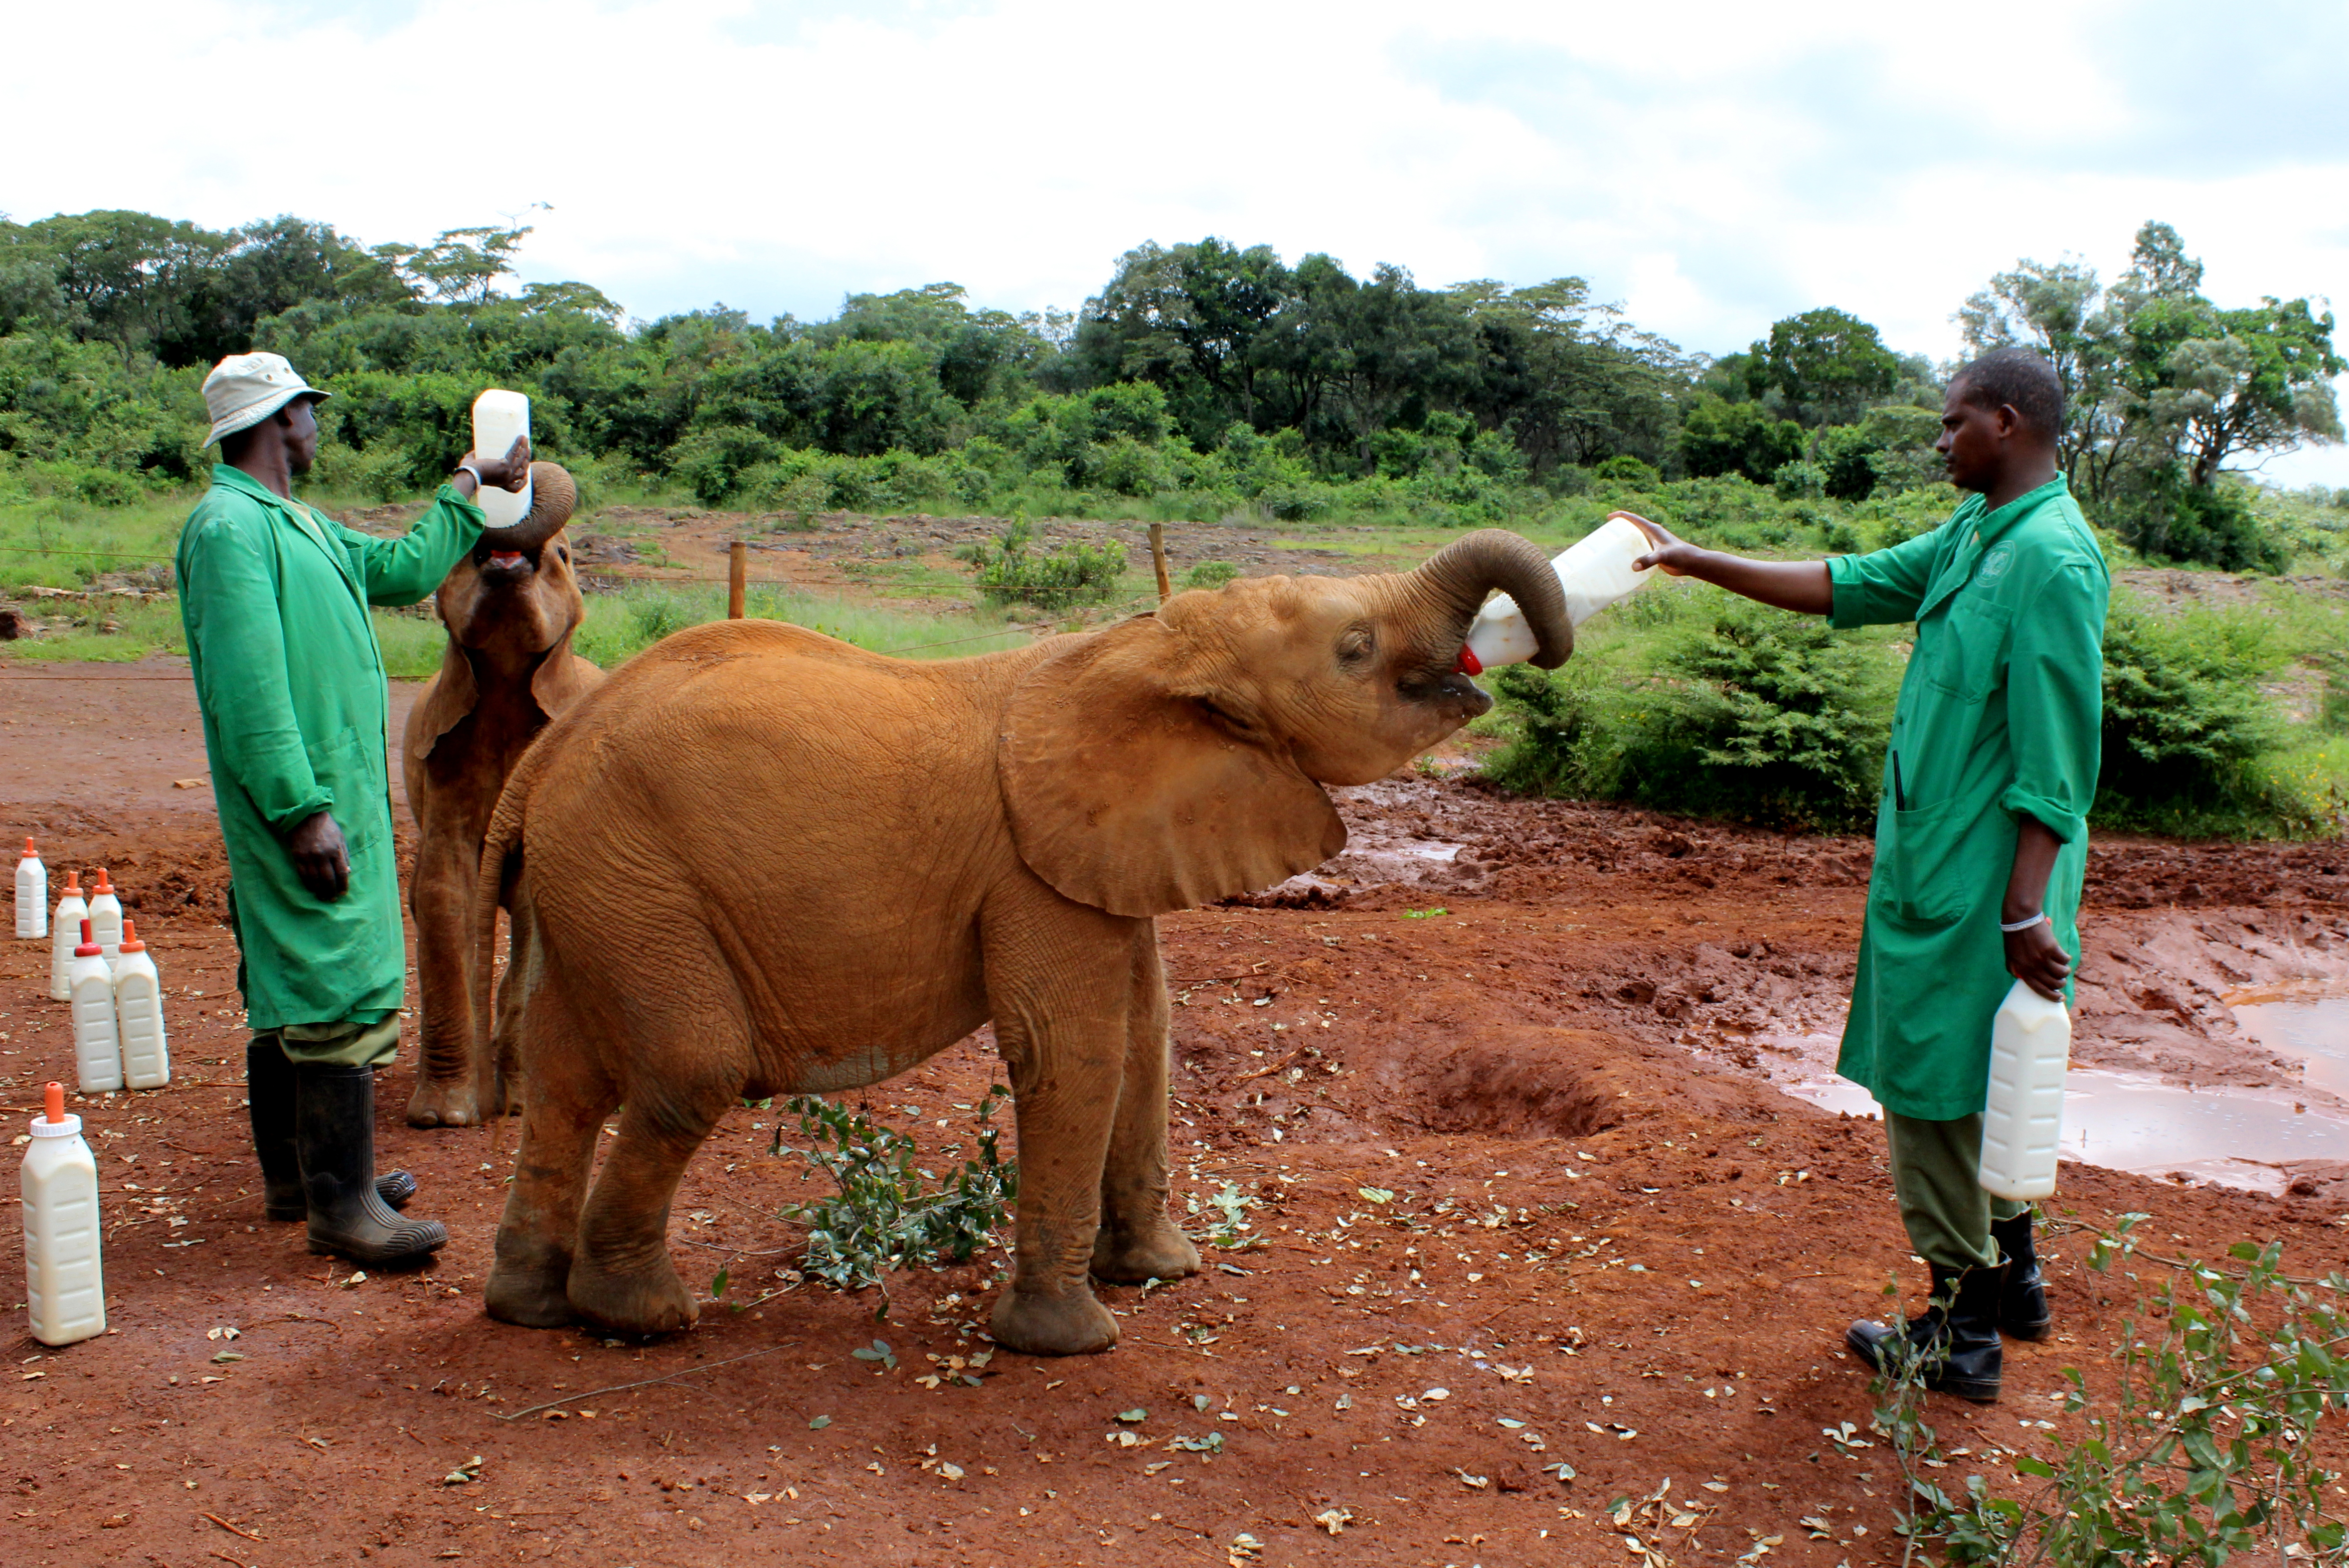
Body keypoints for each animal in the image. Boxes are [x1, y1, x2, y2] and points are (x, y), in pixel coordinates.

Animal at [399, 462, 596, 1126]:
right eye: (463, 553)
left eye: (563, 555)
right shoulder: (444, 758)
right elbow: (442, 891)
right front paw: (444, 1115)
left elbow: (537, 899)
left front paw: (515, 1106)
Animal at [474, 530, 1569, 1361]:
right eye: (1354, 646)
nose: (1519, 658)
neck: (1148, 642)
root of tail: (540, 763)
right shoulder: (1032, 869)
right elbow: (1070, 1051)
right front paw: (1070, 1342)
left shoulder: (1108, 849)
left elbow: (1145, 1035)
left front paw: (1162, 1275)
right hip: (633, 875)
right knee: (689, 1067)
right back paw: (640, 1316)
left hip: (598, 884)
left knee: (567, 1076)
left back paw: (528, 1305)